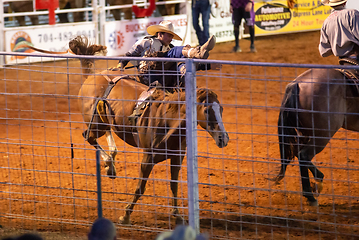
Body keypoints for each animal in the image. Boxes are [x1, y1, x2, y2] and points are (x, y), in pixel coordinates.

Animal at [69, 36, 229, 224]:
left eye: (221, 109)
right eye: (207, 110)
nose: (224, 138)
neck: (166, 119)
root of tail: (91, 77)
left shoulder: (177, 158)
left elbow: (174, 185)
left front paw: (177, 215)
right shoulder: (148, 158)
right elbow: (140, 187)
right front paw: (125, 215)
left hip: (104, 120)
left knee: (104, 136)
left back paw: (111, 164)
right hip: (96, 124)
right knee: (89, 136)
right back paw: (109, 163)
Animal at [274, 67, 358, 206]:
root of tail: (296, 84)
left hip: (306, 133)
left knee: (297, 151)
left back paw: (318, 182)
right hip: (323, 135)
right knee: (304, 155)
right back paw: (310, 196)